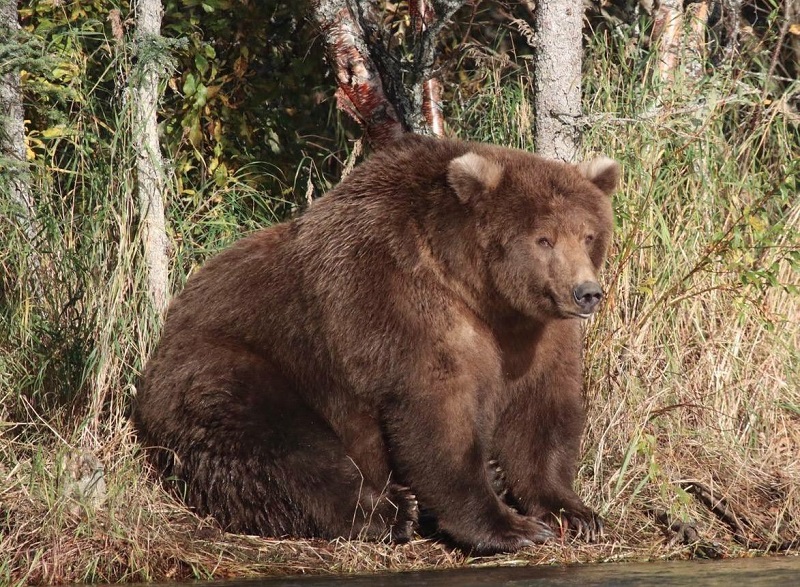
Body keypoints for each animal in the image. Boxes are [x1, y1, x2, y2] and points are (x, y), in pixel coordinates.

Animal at [133, 133, 620, 556]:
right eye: (544, 238)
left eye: (588, 235)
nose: (586, 293)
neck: (479, 291)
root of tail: (161, 342)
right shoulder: (398, 301)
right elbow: (437, 414)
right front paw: (510, 526)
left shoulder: (535, 335)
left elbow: (542, 412)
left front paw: (574, 513)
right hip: (234, 367)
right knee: (284, 448)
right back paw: (392, 510)